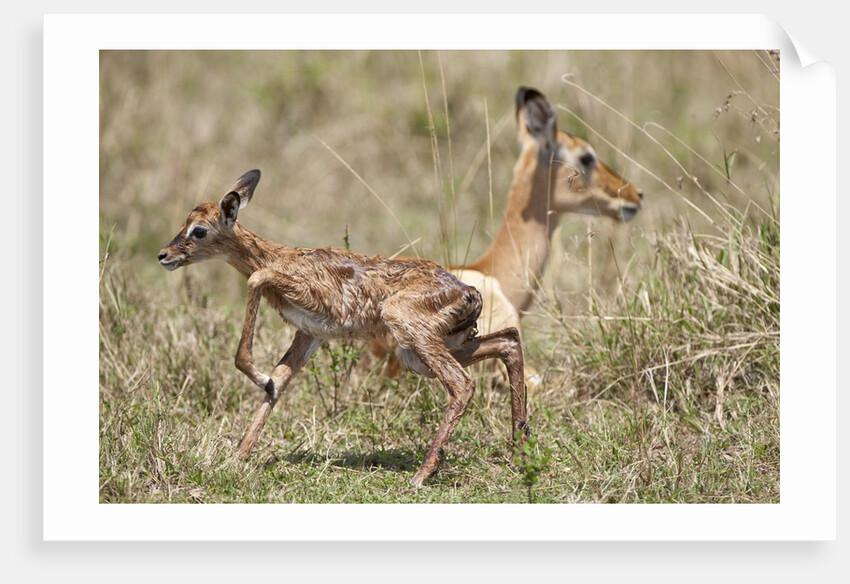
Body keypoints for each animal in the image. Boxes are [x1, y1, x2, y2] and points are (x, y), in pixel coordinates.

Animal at [157, 169, 529, 487]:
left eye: (199, 230)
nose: (164, 255)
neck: (280, 257)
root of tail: (470, 293)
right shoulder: (310, 334)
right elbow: (279, 382)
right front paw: (239, 457)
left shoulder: (298, 295)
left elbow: (255, 281)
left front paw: (258, 381)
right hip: (421, 353)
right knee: (508, 342)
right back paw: (518, 451)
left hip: (413, 336)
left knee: (463, 384)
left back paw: (423, 475)